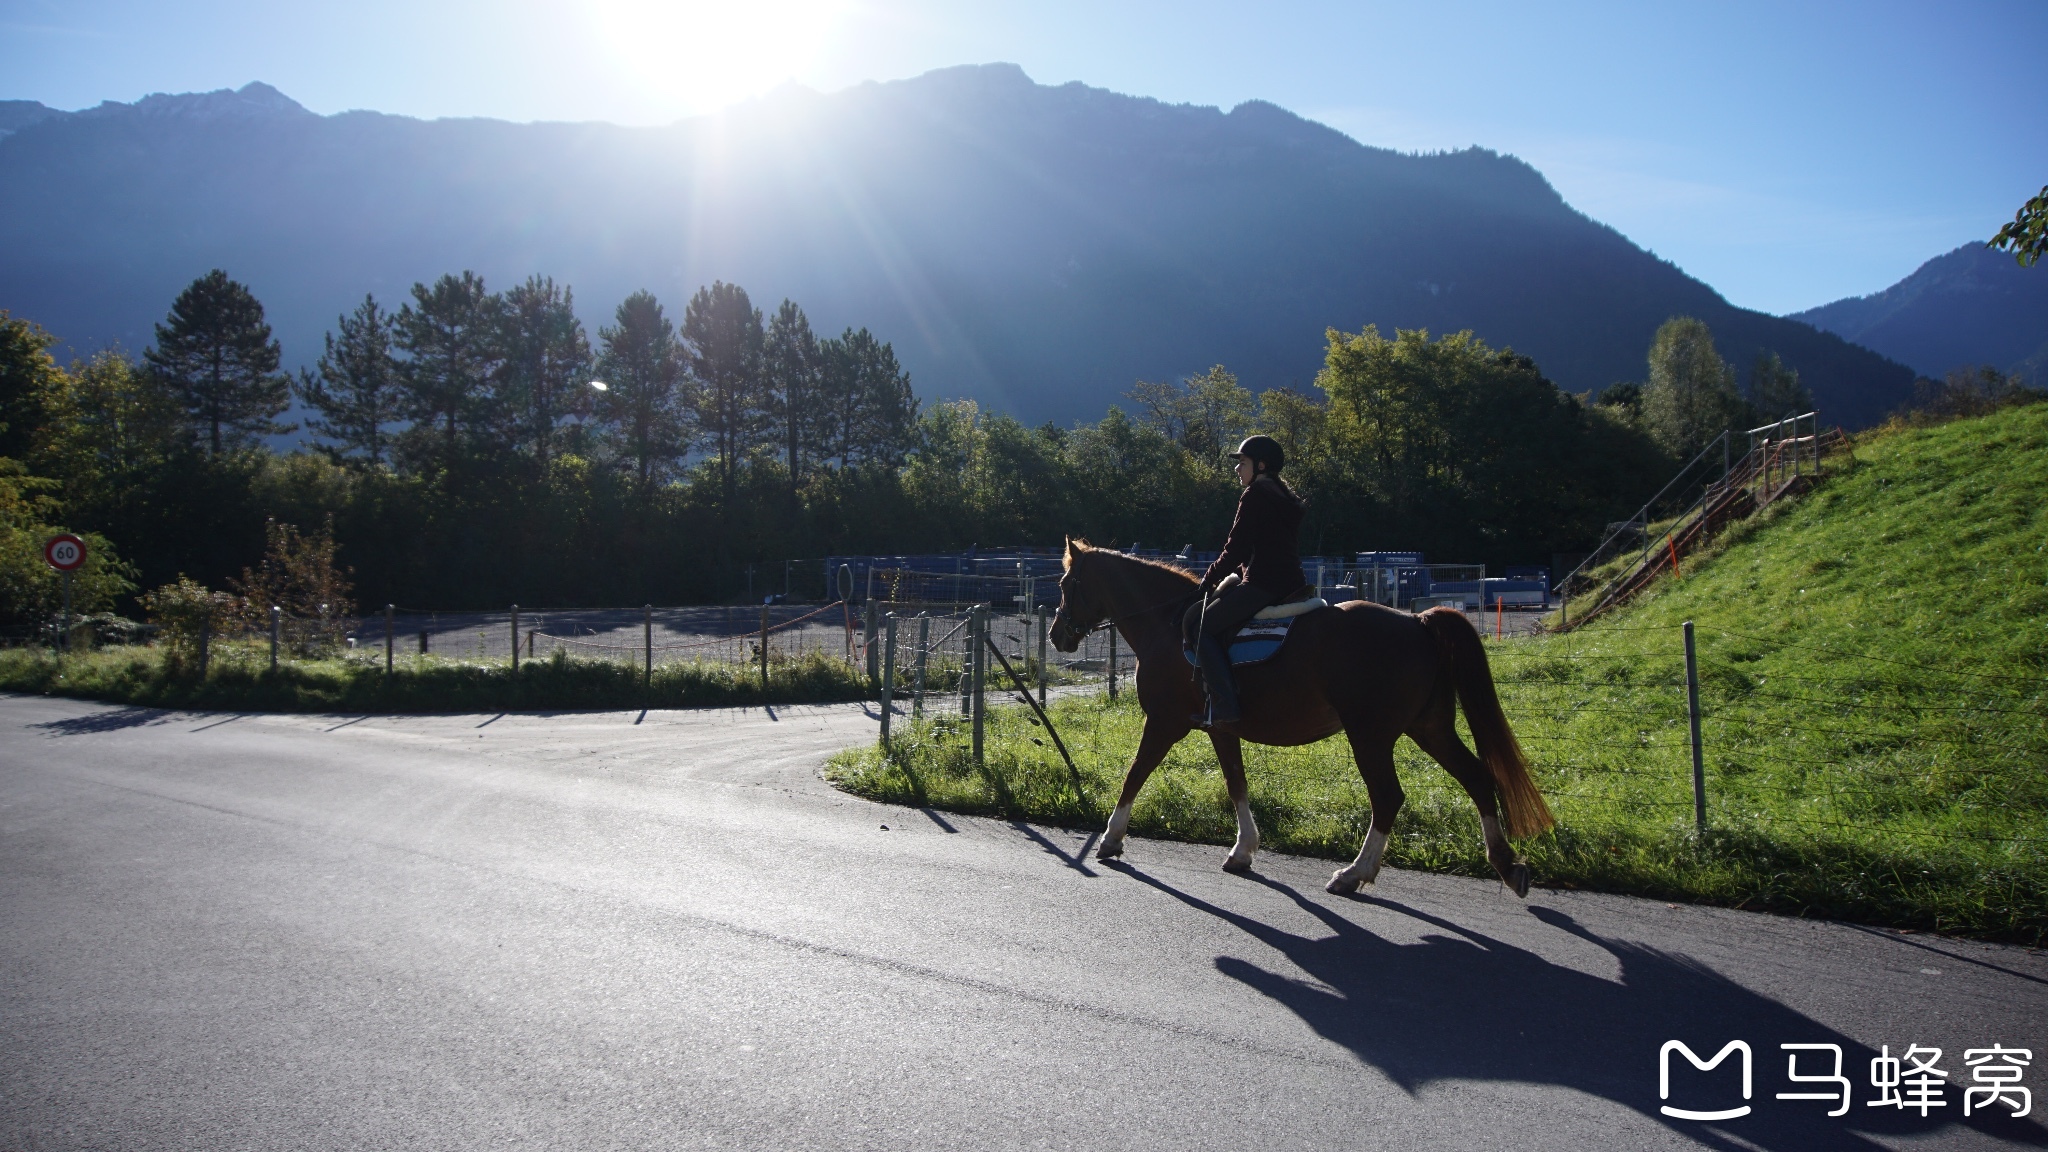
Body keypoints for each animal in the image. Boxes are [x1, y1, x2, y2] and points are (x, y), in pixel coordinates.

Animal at [1048, 532, 1556, 893]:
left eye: (1067, 584)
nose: (1056, 635)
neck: (1167, 625)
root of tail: (1417, 621)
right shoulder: (1220, 728)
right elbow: (1236, 783)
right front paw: (1243, 850)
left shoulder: (1164, 722)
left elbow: (1135, 773)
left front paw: (1111, 838)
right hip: (1428, 728)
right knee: (1477, 778)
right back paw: (1506, 864)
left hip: (1371, 736)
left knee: (1389, 797)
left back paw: (1354, 874)